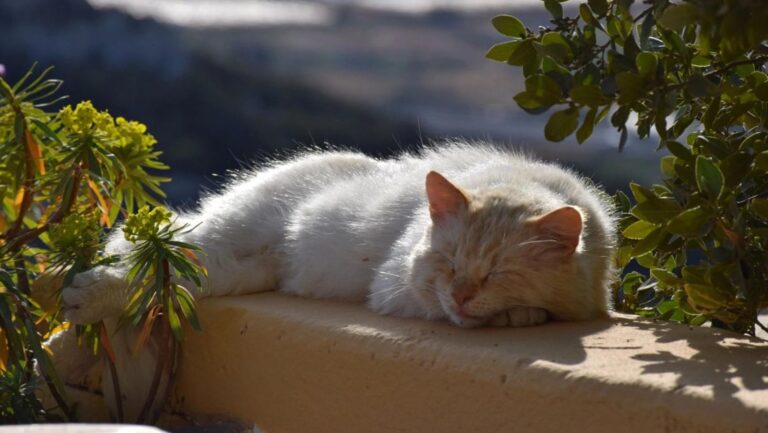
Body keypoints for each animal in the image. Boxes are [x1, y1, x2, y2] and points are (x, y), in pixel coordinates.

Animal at [60, 142, 616, 328]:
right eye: (450, 264)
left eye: (498, 273)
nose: (461, 294)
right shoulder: (397, 286)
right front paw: (516, 317)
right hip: (227, 230)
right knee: (136, 258)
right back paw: (79, 295)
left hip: (226, 270)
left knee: (159, 276)